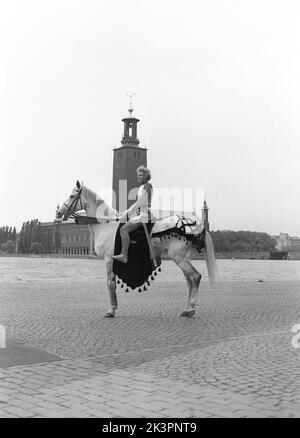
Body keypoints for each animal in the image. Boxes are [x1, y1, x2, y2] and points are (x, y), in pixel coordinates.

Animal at [56, 181, 218, 318]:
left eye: (72, 195)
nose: (58, 212)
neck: (106, 225)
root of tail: (198, 225)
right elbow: (112, 284)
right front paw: (114, 308)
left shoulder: (108, 259)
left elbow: (110, 284)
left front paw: (111, 310)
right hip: (184, 257)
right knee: (189, 280)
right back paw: (187, 308)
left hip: (178, 257)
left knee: (195, 277)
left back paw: (191, 309)